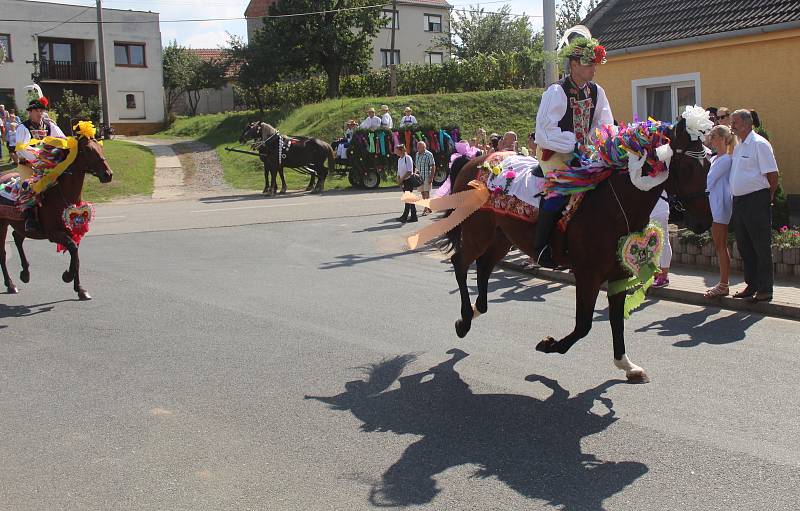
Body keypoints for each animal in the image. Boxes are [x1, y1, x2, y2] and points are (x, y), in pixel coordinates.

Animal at [0, 138, 114, 302]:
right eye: (87, 150)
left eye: (100, 147)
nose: (108, 174)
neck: (62, 195)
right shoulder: (54, 234)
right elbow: (72, 249)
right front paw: (67, 276)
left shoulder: (72, 232)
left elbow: (76, 256)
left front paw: (80, 289)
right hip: (2, 225)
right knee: (3, 253)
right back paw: (10, 284)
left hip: (18, 224)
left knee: (17, 238)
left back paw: (25, 274)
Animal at [444, 119, 712, 384]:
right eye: (686, 166)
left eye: (708, 164)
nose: (704, 223)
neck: (613, 206)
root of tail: (475, 161)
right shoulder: (588, 276)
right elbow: (583, 325)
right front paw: (549, 345)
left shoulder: (618, 275)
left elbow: (616, 320)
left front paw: (626, 365)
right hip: (478, 234)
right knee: (460, 262)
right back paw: (464, 320)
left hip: (502, 238)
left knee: (483, 266)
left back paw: (476, 311)